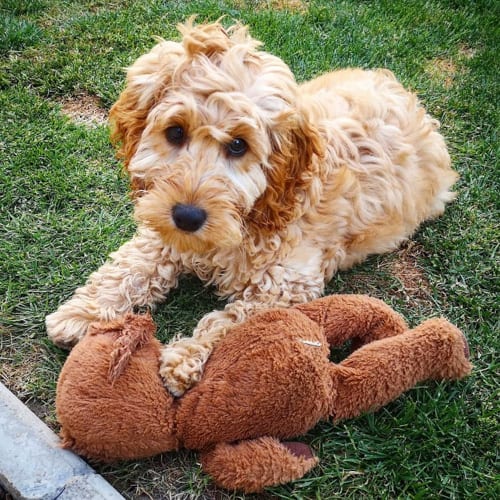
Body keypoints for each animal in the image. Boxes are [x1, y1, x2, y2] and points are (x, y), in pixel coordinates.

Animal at [46, 18, 458, 394]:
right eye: (175, 132)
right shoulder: (163, 231)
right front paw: (82, 312)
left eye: (238, 145)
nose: (187, 216)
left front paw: (186, 356)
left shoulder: (288, 283)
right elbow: (130, 267)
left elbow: (233, 321)